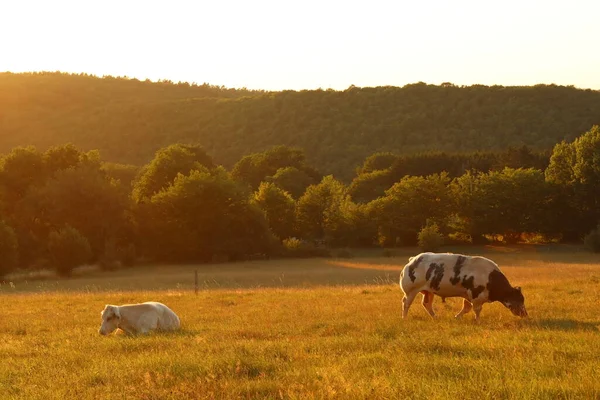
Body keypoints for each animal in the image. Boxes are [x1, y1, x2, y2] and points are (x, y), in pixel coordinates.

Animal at [400, 253, 528, 322]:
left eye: (523, 299)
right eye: (519, 299)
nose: (525, 314)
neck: (489, 277)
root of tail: (413, 259)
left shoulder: (468, 295)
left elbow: (467, 308)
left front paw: (456, 317)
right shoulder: (476, 295)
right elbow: (477, 309)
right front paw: (478, 321)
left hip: (428, 291)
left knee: (426, 304)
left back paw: (435, 317)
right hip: (410, 290)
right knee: (406, 303)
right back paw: (404, 318)